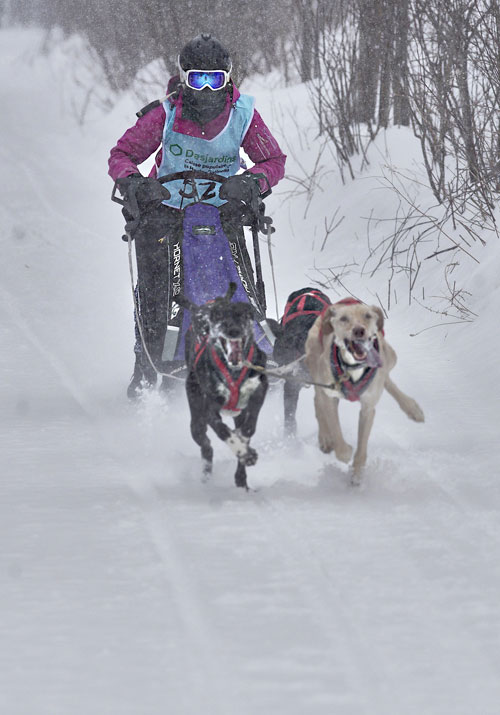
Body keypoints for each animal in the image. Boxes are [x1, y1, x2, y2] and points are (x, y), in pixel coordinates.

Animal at [175, 283, 268, 489]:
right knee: (206, 445)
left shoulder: (259, 392)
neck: (234, 372)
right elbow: (225, 433)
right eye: (222, 320)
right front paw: (244, 451)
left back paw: (241, 479)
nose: (233, 330)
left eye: (242, 316)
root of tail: (199, 309)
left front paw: (245, 447)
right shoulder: (210, 410)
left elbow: (248, 429)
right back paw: (207, 477)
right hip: (197, 419)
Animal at [305, 297, 425, 483]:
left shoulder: (368, 408)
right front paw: (344, 451)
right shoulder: (329, 395)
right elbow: (336, 431)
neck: (353, 368)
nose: (359, 330)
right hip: (315, 366)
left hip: (390, 356)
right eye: (344, 318)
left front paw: (357, 472)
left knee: (387, 377)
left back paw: (411, 407)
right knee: (318, 402)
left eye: (367, 315)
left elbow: (362, 445)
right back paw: (324, 437)